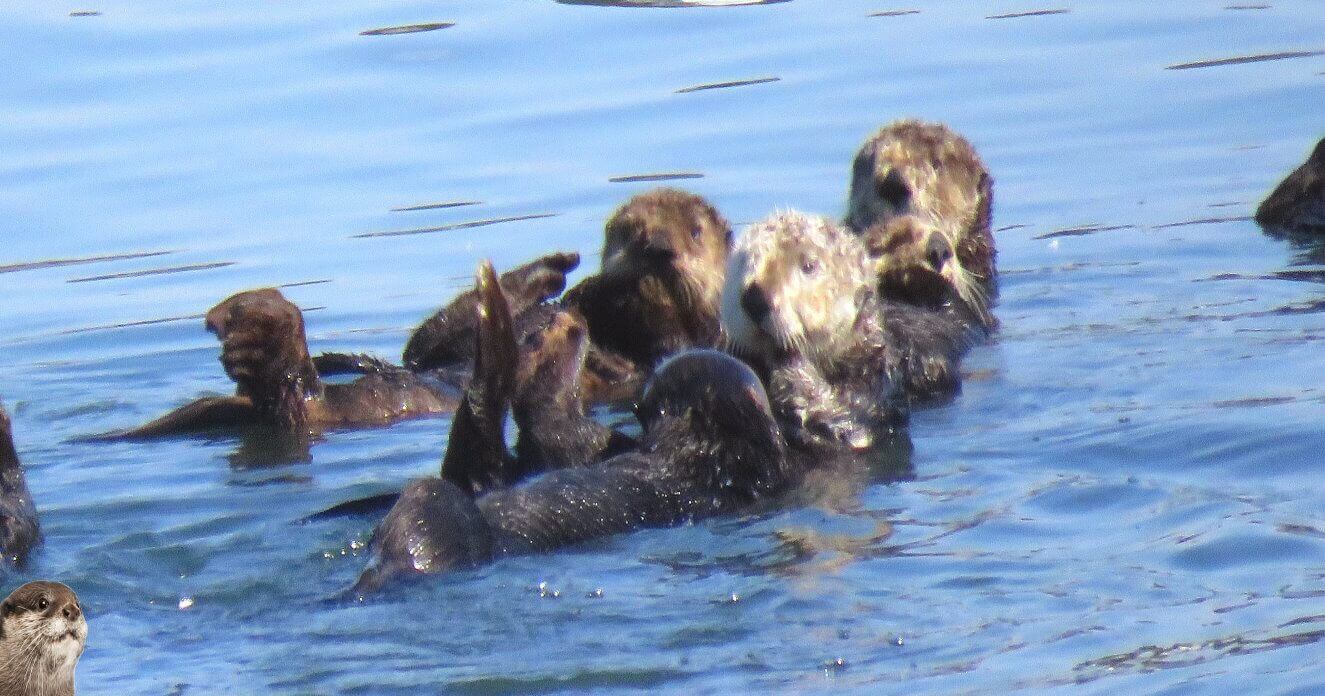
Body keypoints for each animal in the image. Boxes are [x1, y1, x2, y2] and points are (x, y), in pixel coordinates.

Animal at [721, 211, 971, 450]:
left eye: (809, 267)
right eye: (745, 261)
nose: (754, 298)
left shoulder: (876, 392)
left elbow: (850, 425)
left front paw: (791, 362)